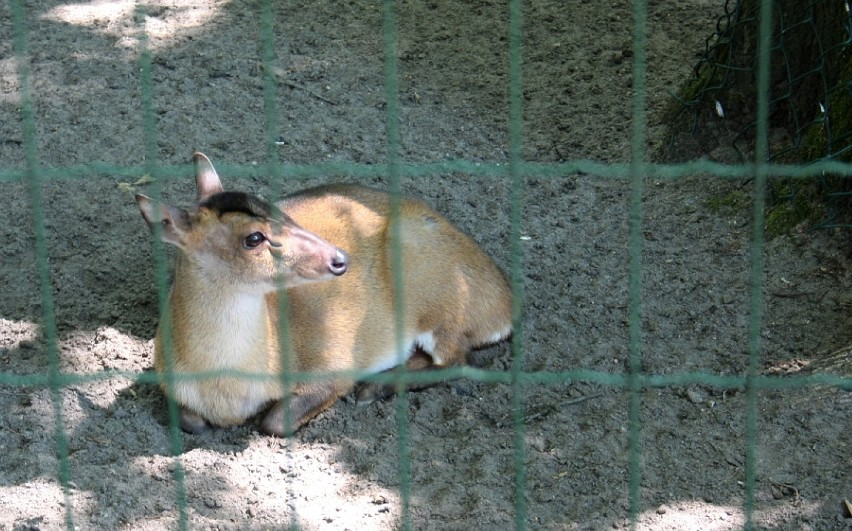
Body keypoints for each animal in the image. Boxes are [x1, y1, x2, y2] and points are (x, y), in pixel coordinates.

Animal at [136, 154, 510, 436]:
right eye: (253, 238)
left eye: (281, 213)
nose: (339, 259)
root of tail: (505, 302)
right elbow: (191, 422)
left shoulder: (331, 366)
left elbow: (275, 421)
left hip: (435, 293)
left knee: (460, 358)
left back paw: (373, 388)